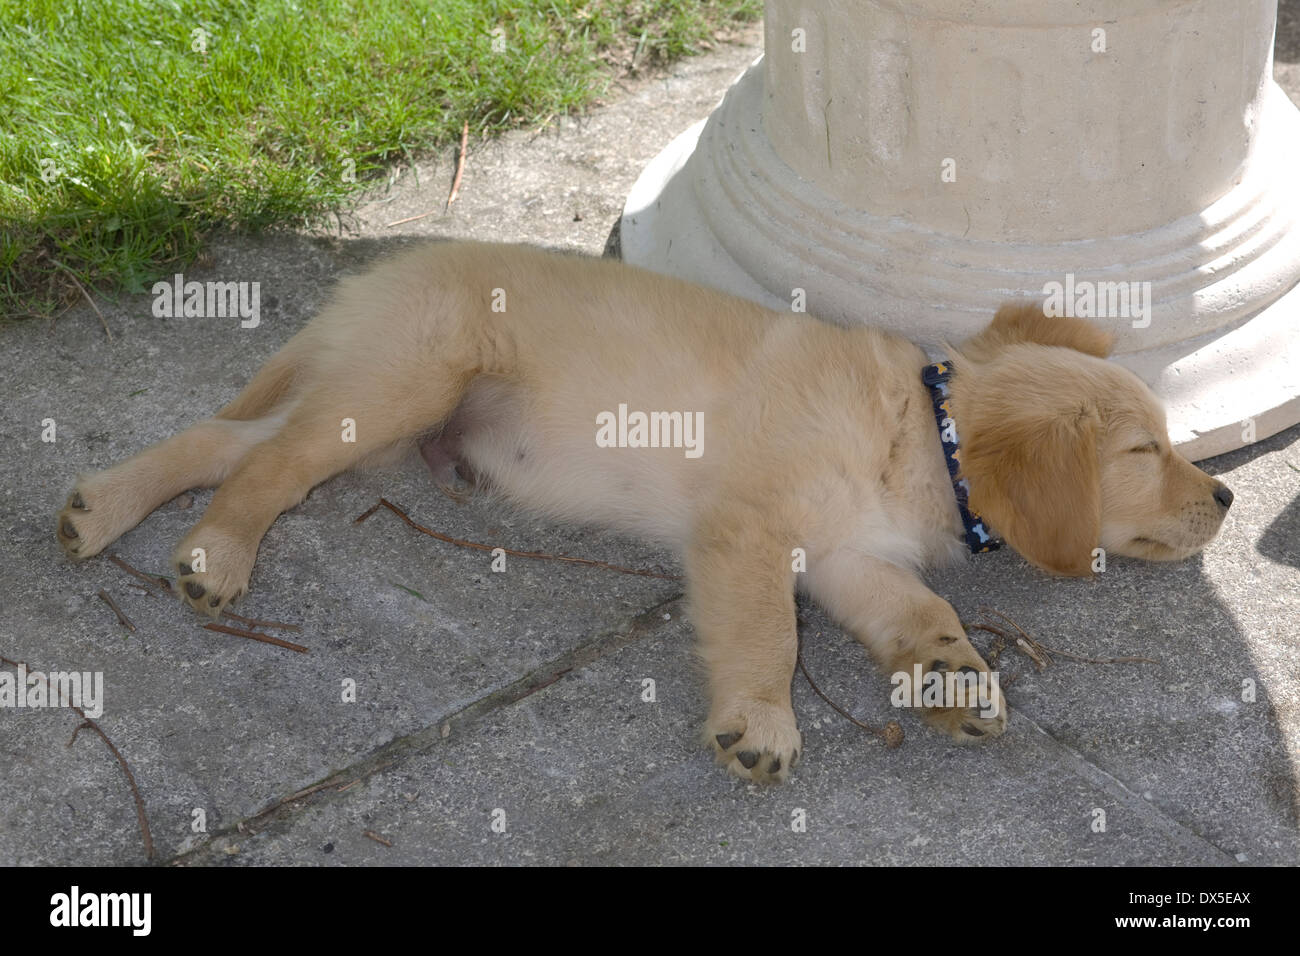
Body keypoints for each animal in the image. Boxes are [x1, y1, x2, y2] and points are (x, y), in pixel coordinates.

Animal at [55, 240, 1232, 785]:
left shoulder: (849, 556)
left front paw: (951, 670)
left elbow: (922, 609)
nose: (1223, 493)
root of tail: (385, 271)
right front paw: (761, 722)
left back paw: (99, 508)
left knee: (226, 439)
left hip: (372, 411)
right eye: (1143, 452)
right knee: (264, 467)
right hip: (401, 386)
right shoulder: (750, 533)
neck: (922, 426)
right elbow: (765, 634)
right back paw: (214, 554)